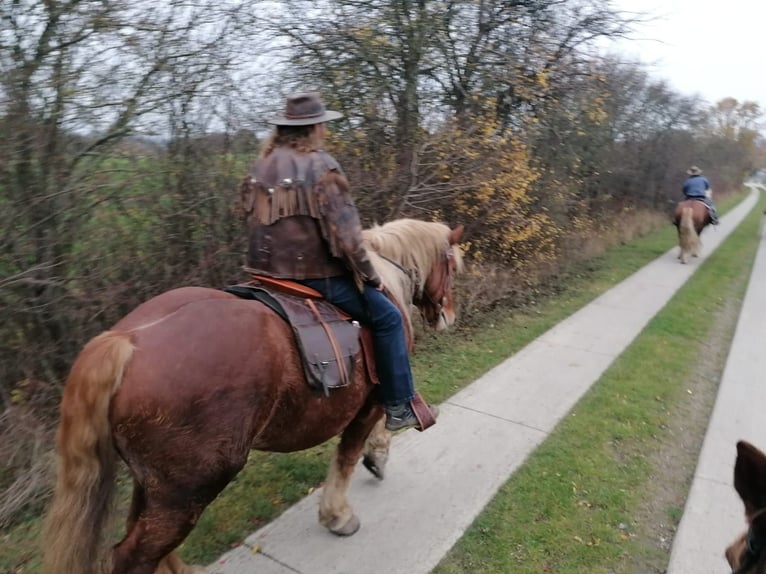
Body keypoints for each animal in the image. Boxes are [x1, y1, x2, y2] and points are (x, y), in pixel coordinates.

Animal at [45, 219, 464, 574]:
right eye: (453, 267)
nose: (447, 315)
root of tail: (126, 340)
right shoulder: (370, 402)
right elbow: (347, 455)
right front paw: (339, 513)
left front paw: (376, 458)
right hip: (187, 490)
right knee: (133, 556)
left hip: (156, 485)